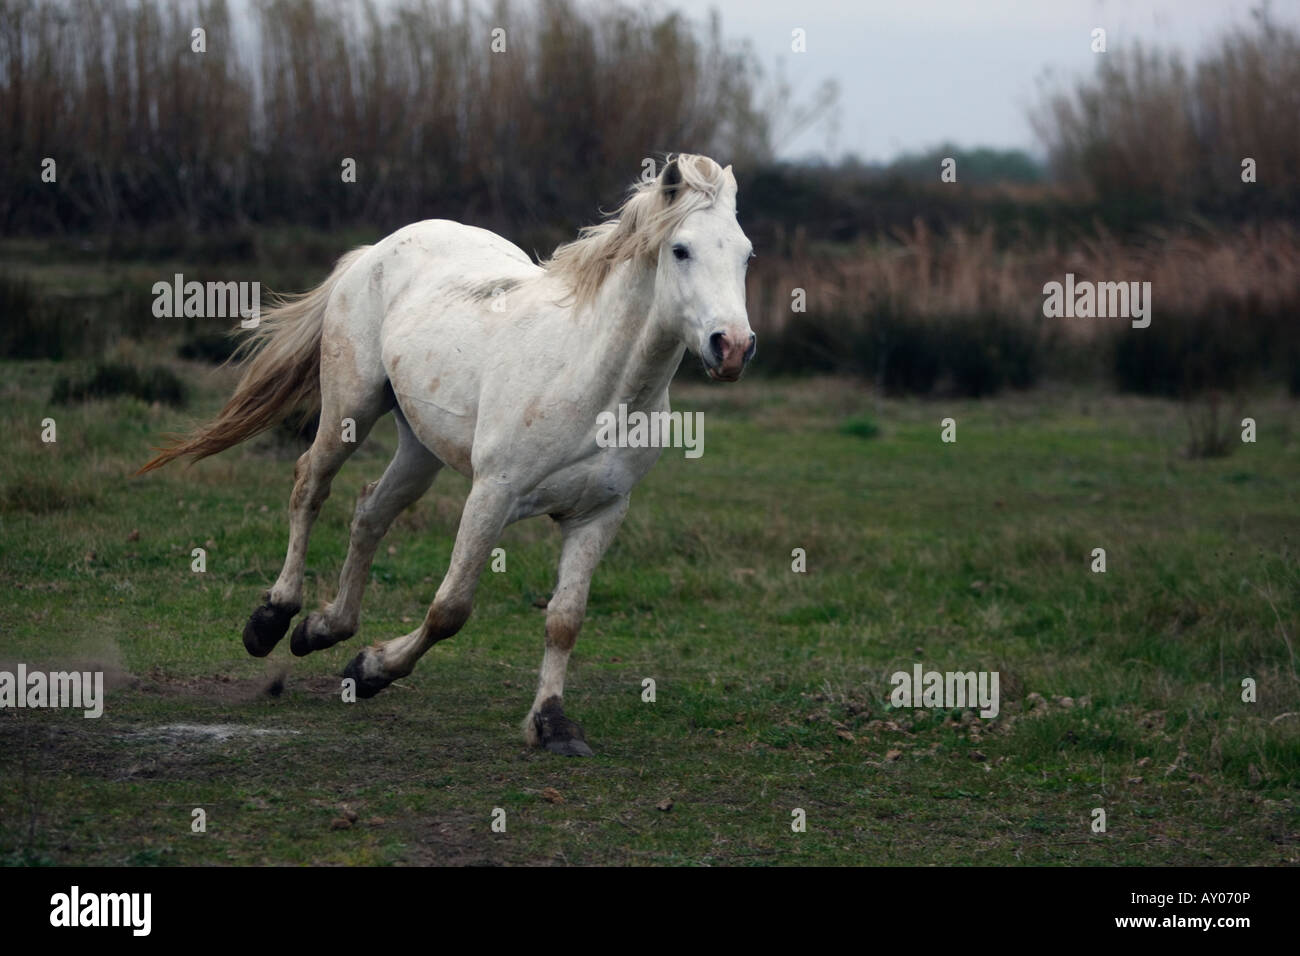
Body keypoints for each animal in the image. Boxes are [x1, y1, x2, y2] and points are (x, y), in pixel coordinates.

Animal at [139, 155, 754, 754]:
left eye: (746, 254)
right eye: (681, 250)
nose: (733, 347)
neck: (593, 377)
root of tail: (376, 250)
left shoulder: (599, 513)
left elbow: (565, 620)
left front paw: (552, 724)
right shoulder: (493, 493)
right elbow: (450, 608)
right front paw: (371, 670)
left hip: (419, 449)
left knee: (370, 513)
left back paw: (323, 628)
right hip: (350, 409)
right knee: (310, 486)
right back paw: (273, 618)